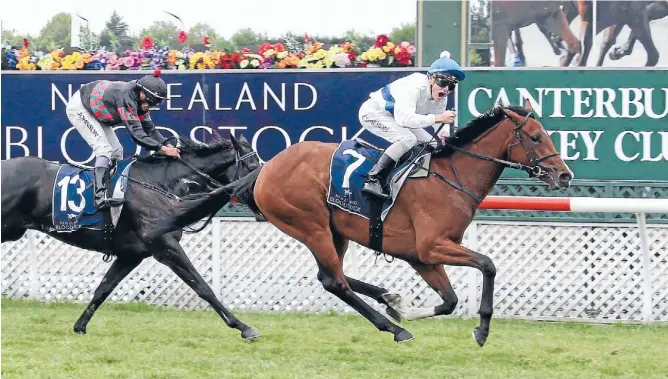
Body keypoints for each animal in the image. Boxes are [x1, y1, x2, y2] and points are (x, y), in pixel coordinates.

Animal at [2, 134, 264, 342]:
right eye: (252, 166)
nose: (263, 198)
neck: (164, 186)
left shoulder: (131, 255)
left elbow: (103, 289)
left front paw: (80, 327)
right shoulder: (164, 245)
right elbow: (202, 286)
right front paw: (244, 327)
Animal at [146, 101, 576, 348]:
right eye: (535, 137)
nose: (564, 176)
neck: (449, 177)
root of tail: (264, 169)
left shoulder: (421, 256)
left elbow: (451, 301)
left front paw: (406, 308)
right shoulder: (432, 246)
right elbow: (487, 264)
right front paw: (481, 330)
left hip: (335, 232)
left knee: (333, 277)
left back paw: (389, 302)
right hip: (311, 225)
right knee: (334, 281)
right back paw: (393, 327)